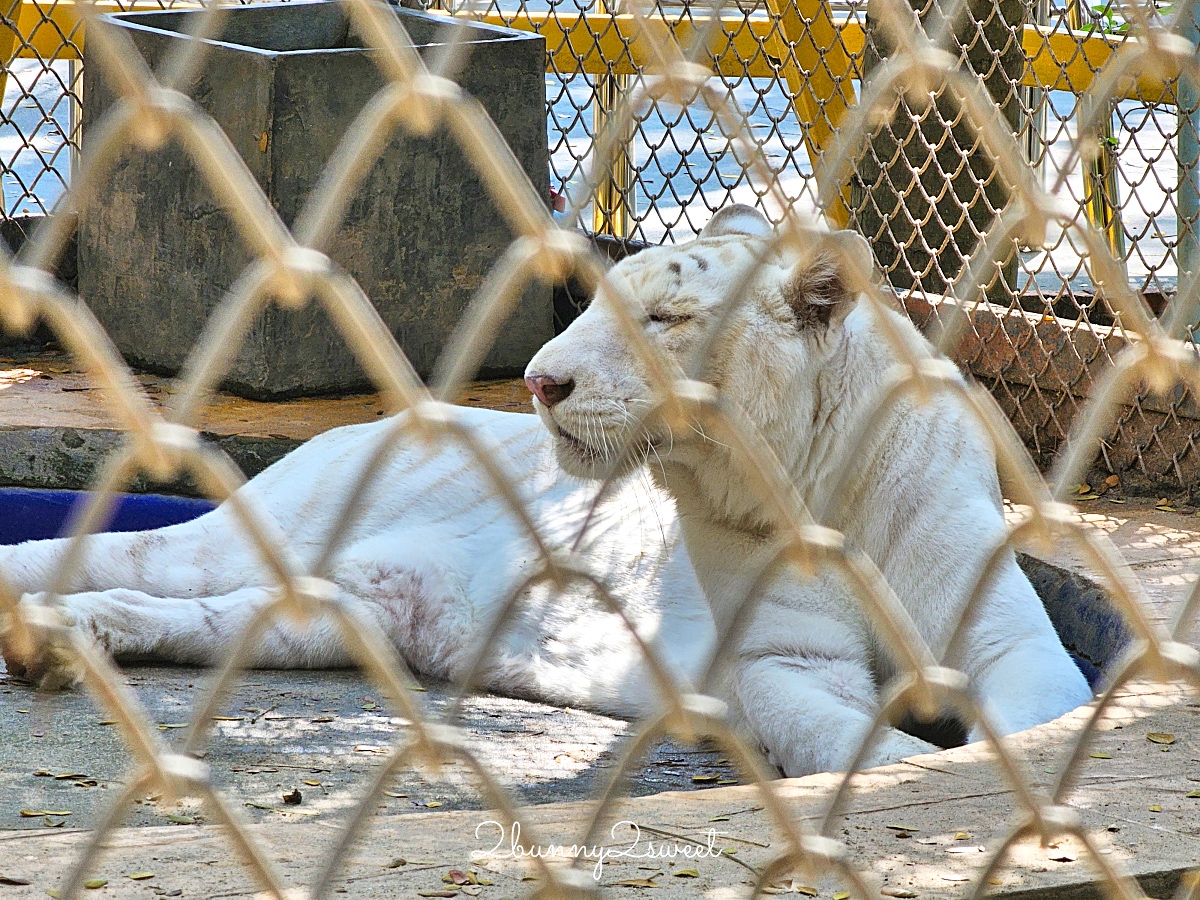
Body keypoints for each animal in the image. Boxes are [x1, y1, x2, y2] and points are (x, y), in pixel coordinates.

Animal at [0, 207, 1094, 777]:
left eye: (666, 318)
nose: (537, 380)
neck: (816, 484)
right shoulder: (787, 664)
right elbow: (864, 743)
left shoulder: (1009, 638)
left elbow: (1034, 710)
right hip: (249, 538)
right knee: (108, 554)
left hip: (333, 613)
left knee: (178, 612)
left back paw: (63, 642)